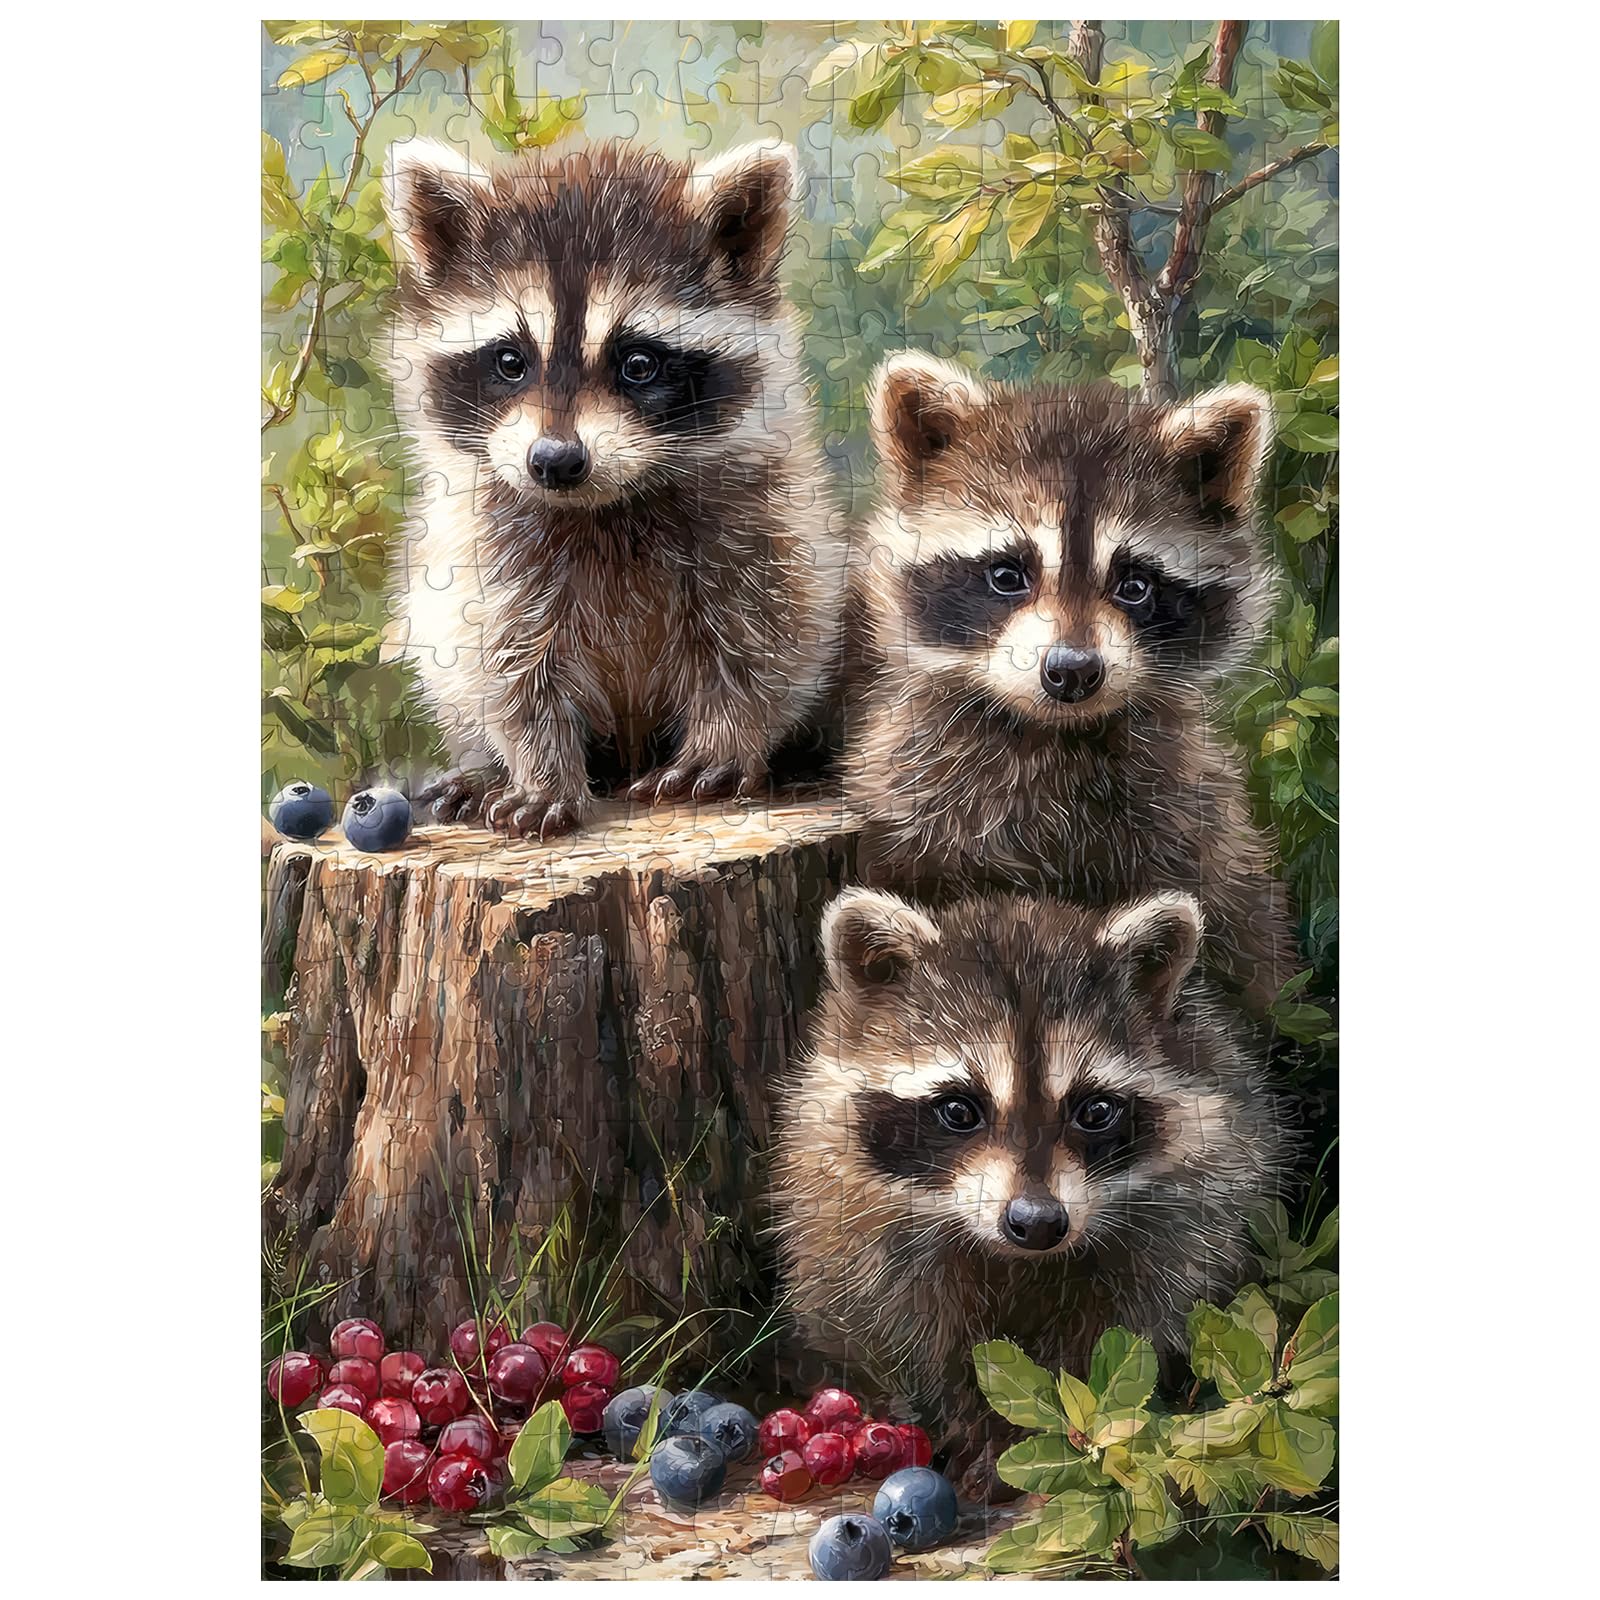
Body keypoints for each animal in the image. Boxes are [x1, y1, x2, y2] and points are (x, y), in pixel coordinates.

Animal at [381, 138, 845, 837]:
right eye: (510, 361)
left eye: (639, 364)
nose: (555, 461)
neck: (602, 505)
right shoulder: (490, 540)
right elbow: (503, 660)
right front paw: (540, 769)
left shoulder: (756, 518)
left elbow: (763, 637)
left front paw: (725, 739)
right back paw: (484, 770)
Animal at [772, 887, 1286, 1496]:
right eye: (958, 1109)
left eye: (1095, 1110)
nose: (1038, 1222)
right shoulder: (852, 1215)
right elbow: (900, 1327)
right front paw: (958, 1416)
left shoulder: (1185, 1208)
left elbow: (1125, 1326)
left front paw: (1046, 1429)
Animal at [849, 354, 1294, 1014]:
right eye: (1007, 574)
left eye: (1134, 585)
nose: (1072, 671)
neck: (1052, 733)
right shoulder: (917, 798)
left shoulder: (1187, 820)